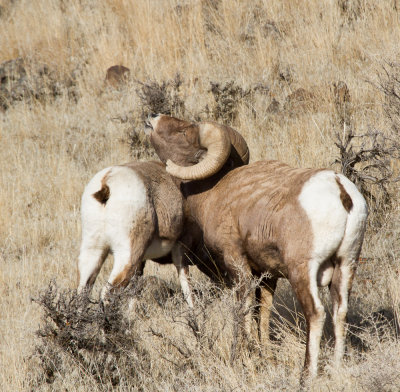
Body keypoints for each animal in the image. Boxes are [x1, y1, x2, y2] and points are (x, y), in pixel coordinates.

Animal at [148, 114, 368, 382]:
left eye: (183, 134)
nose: (153, 118)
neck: (214, 191)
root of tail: (341, 191)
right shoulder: (267, 275)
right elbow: (262, 312)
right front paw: (264, 355)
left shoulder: (237, 264)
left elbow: (243, 310)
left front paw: (242, 358)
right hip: (346, 265)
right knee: (340, 311)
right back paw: (336, 369)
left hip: (303, 271)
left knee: (316, 314)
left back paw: (306, 375)